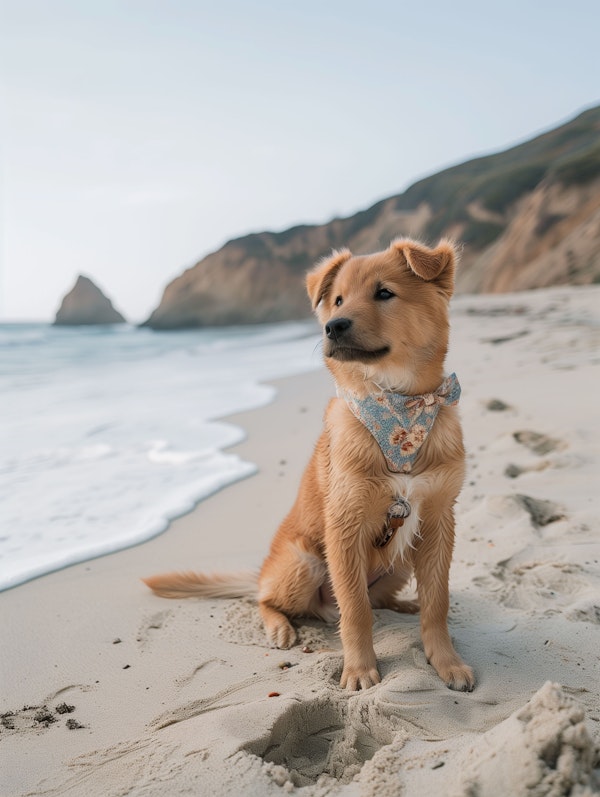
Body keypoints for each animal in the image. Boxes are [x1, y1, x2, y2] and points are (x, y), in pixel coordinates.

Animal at [143, 236, 476, 692]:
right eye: (337, 300)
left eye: (384, 293)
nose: (332, 326)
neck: (401, 408)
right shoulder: (346, 526)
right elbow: (355, 610)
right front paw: (359, 670)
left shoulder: (439, 519)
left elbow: (436, 602)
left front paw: (446, 661)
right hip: (304, 563)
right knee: (271, 600)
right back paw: (281, 627)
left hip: (398, 562)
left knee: (378, 598)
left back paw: (404, 606)